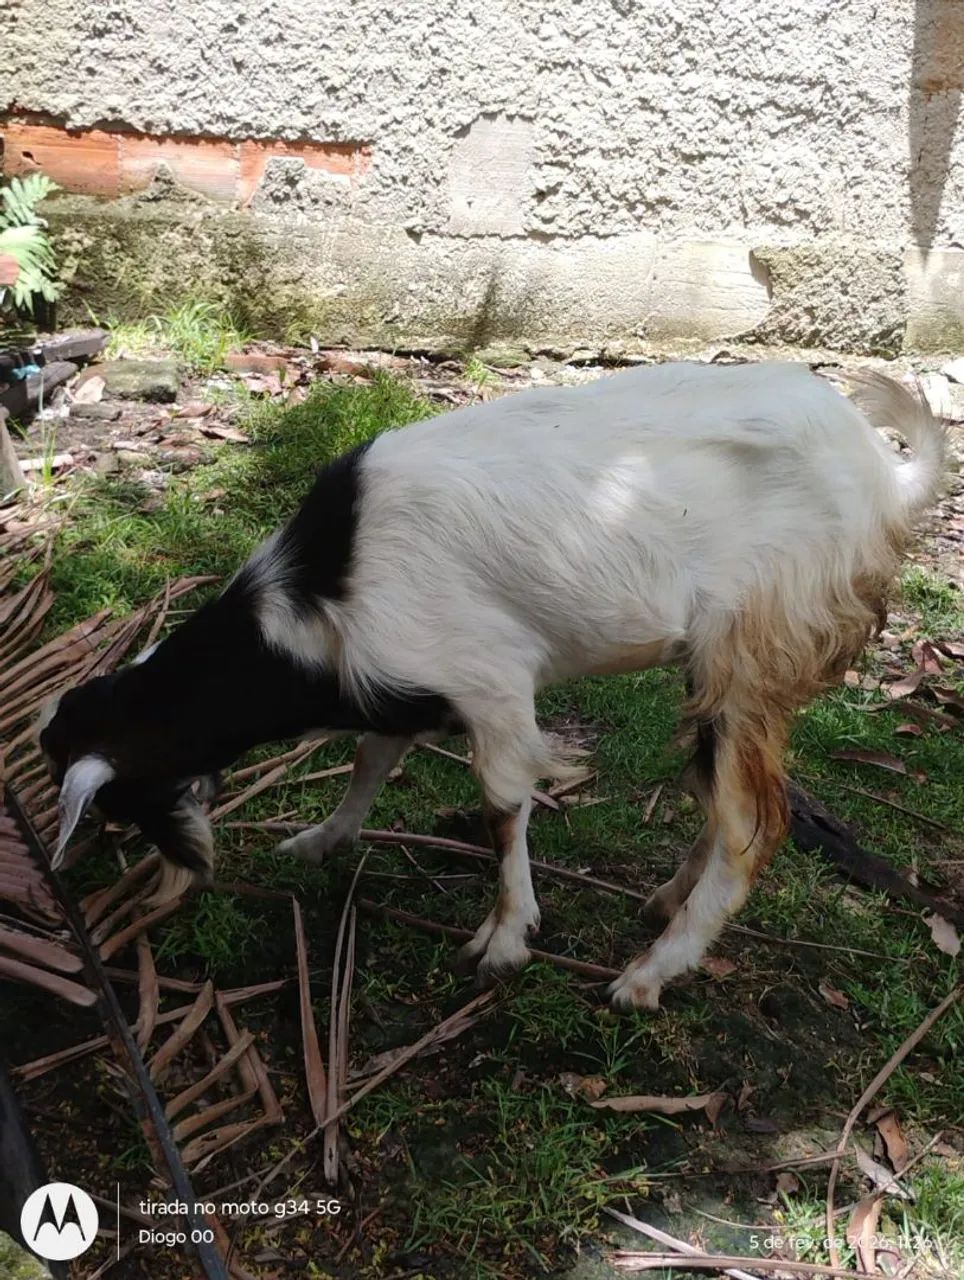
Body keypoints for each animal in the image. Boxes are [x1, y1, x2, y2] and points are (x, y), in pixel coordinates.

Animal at [40, 360, 945, 1010]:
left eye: (117, 804)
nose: (161, 886)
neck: (322, 591)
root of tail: (882, 476)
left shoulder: (491, 681)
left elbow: (501, 806)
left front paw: (506, 938)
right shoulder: (401, 681)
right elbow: (371, 759)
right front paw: (320, 840)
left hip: (757, 645)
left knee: (755, 825)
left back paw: (646, 976)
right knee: (724, 795)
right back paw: (663, 902)